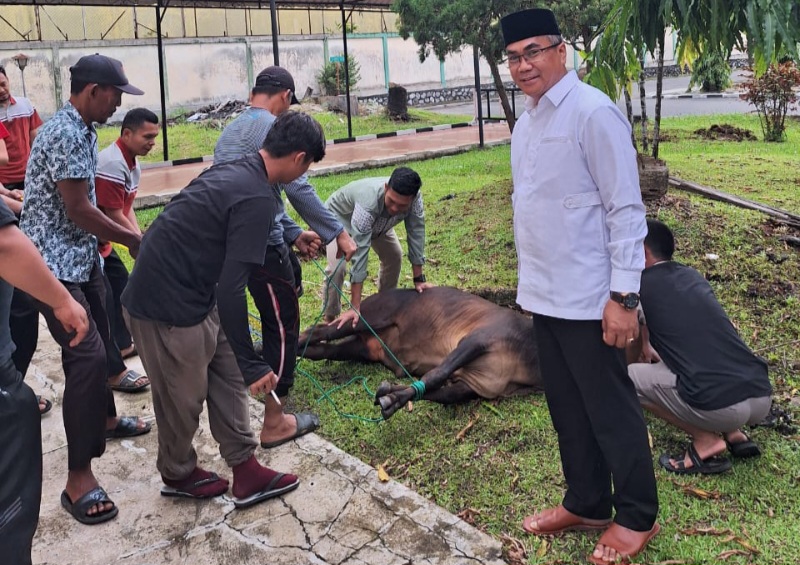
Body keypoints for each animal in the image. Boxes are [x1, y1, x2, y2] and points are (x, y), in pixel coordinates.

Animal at [300, 288, 544, 416]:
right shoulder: (477, 339)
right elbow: (436, 375)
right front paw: (393, 397)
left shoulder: (477, 384)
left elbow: (442, 394)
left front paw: (391, 396)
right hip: (365, 317)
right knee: (319, 330)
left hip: (364, 348)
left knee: (325, 349)